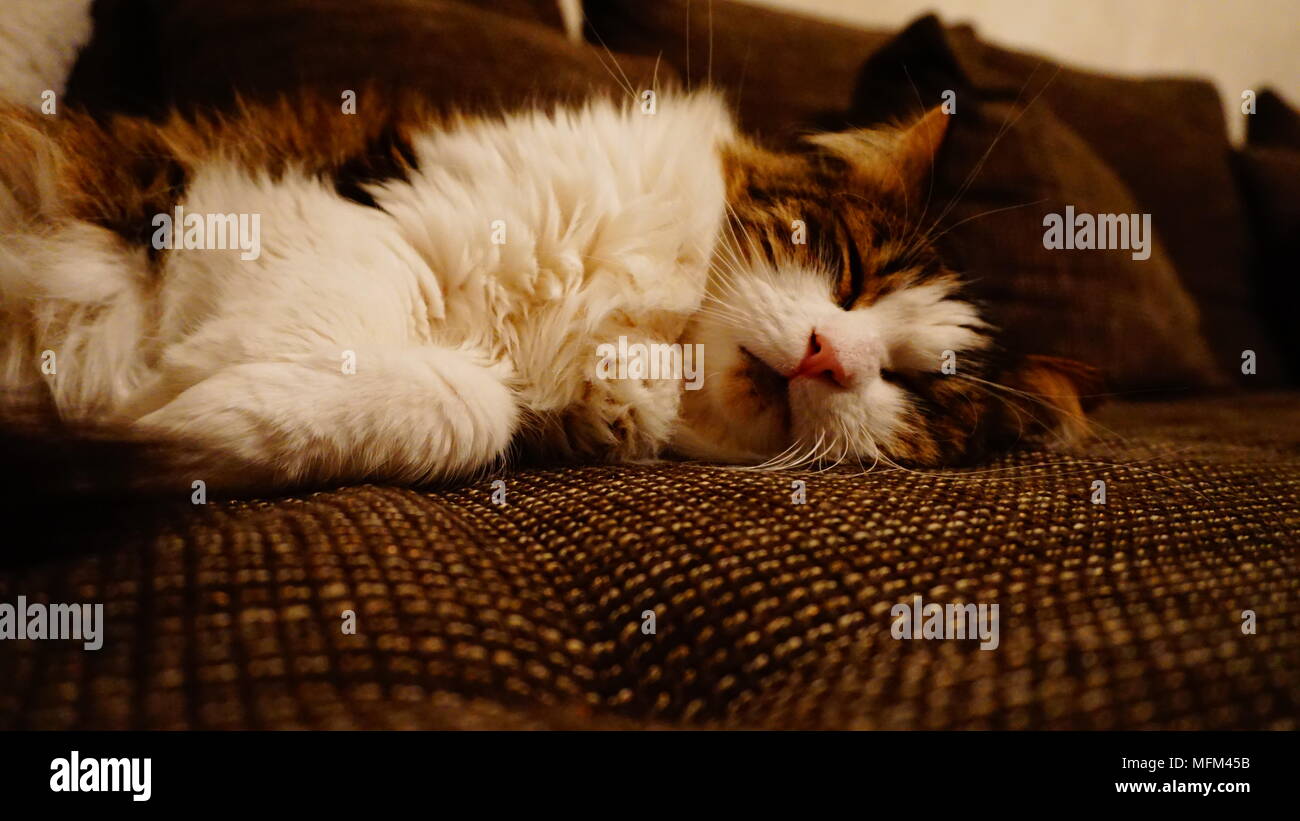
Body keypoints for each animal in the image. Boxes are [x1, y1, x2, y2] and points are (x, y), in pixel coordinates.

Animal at [0, 88, 1097, 493]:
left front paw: (165, 420)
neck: (640, 328)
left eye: (913, 386)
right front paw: (159, 393)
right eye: (849, 273)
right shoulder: (373, 206)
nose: (833, 354)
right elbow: (332, 313)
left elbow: (466, 407)